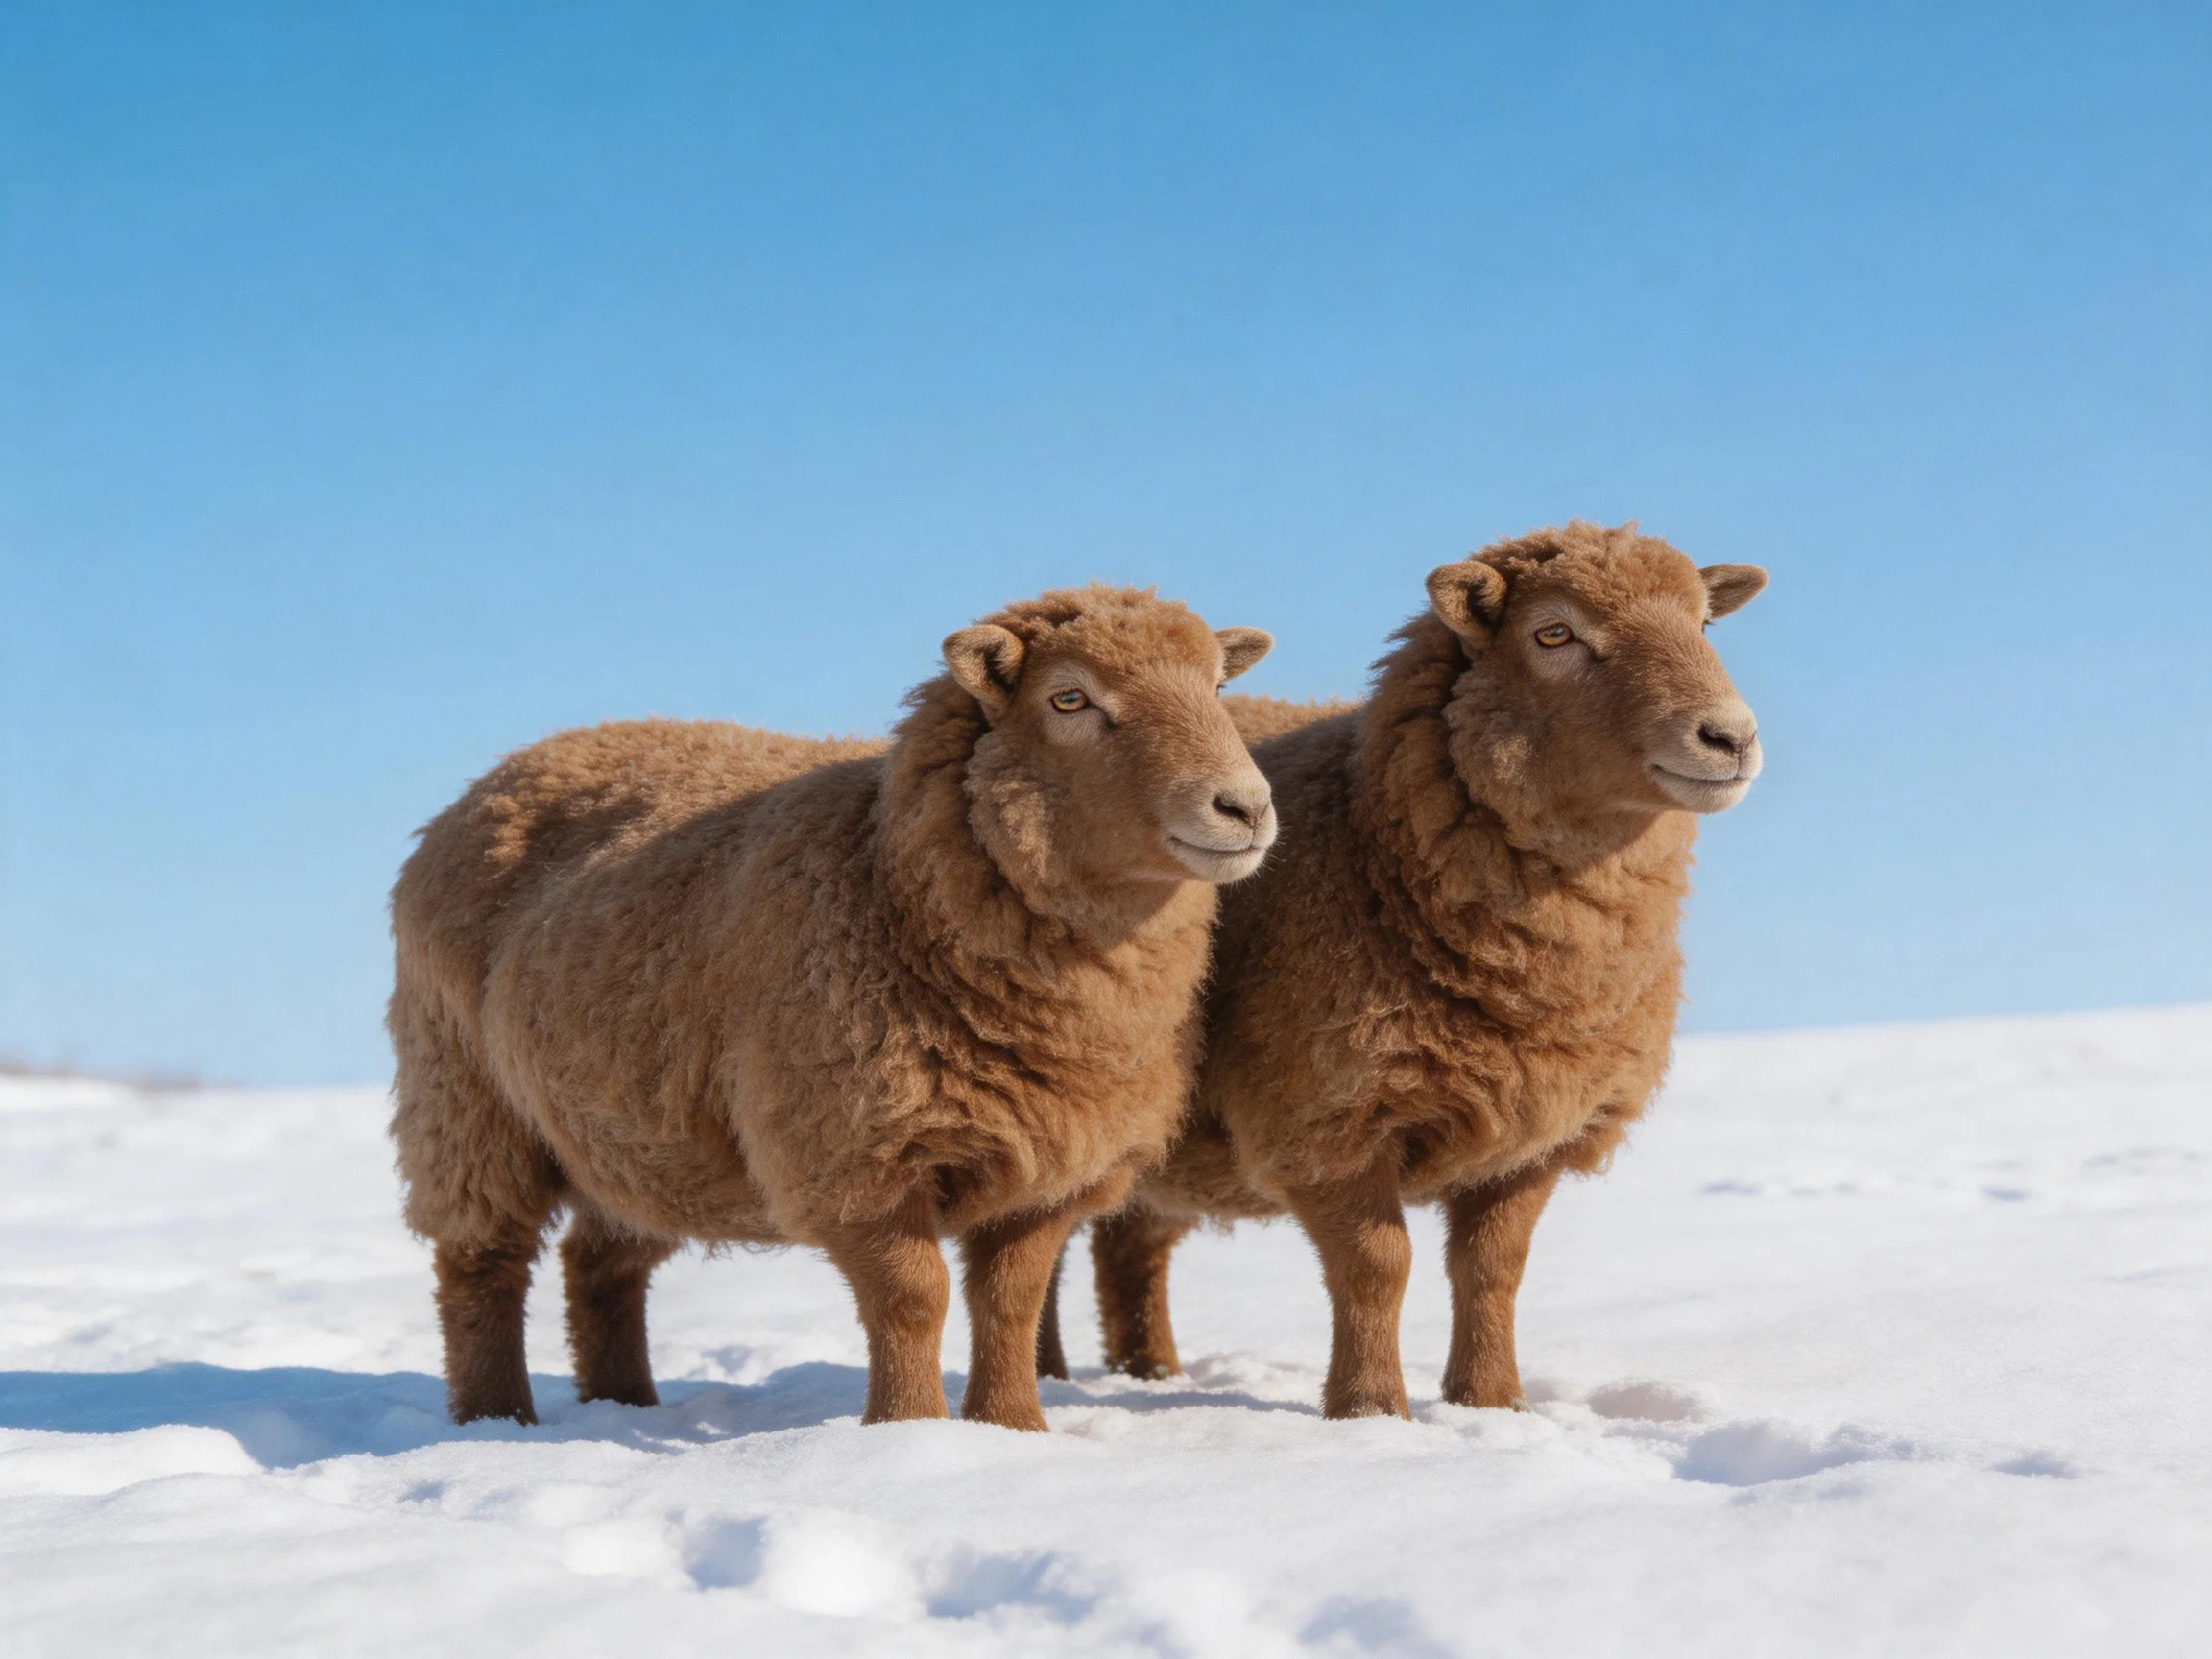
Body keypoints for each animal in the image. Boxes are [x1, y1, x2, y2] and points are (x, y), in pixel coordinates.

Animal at [388, 583, 1278, 1430]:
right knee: (482, 1265)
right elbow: (914, 1297)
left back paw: (624, 1405)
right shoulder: (852, 1149)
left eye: (1217, 687)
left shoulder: (1057, 1161)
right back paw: (496, 1421)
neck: (885, 872)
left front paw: (1014, 1429)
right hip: (464, 1096)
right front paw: (909, 1431)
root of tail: (504, 770)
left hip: (633, 1133)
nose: (1244, 807)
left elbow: (1011, 1301)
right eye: (1069, 698)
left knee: (599, 1264)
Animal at [1070, 522, 1767, 1416]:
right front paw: (1371, 1411)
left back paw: (1147, 1375)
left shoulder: (1535, 1130)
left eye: (1705, 624)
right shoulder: (1324, 1115)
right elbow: (1377, 1267)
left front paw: (1492, 1403)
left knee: (1129, 1242)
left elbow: (1494, 1269)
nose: (1730, 738)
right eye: (1554, 633)